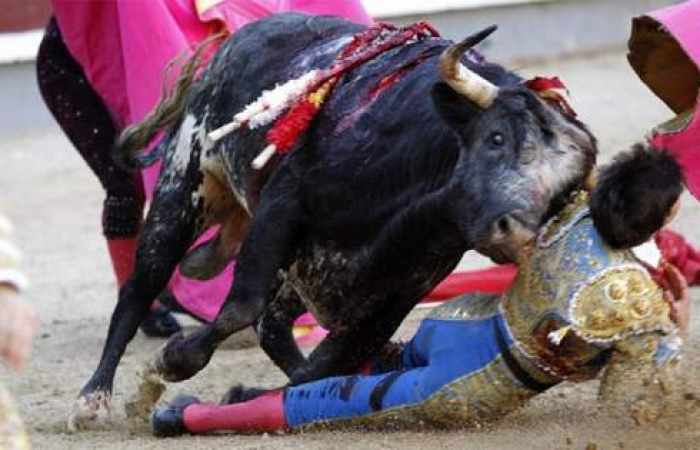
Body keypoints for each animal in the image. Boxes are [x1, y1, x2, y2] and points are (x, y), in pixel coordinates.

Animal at [69, 14, 596, 428]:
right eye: (496, 138)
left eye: (563, 194)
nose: (516, 233)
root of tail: (235, 40)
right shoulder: (284, 203)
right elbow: (239, 307)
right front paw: (173, 361)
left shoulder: (399, 291)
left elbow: (323, 363)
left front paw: (244, 397)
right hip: (183, 189)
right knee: (139, 289)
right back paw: (92, 400)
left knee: (274, 327)